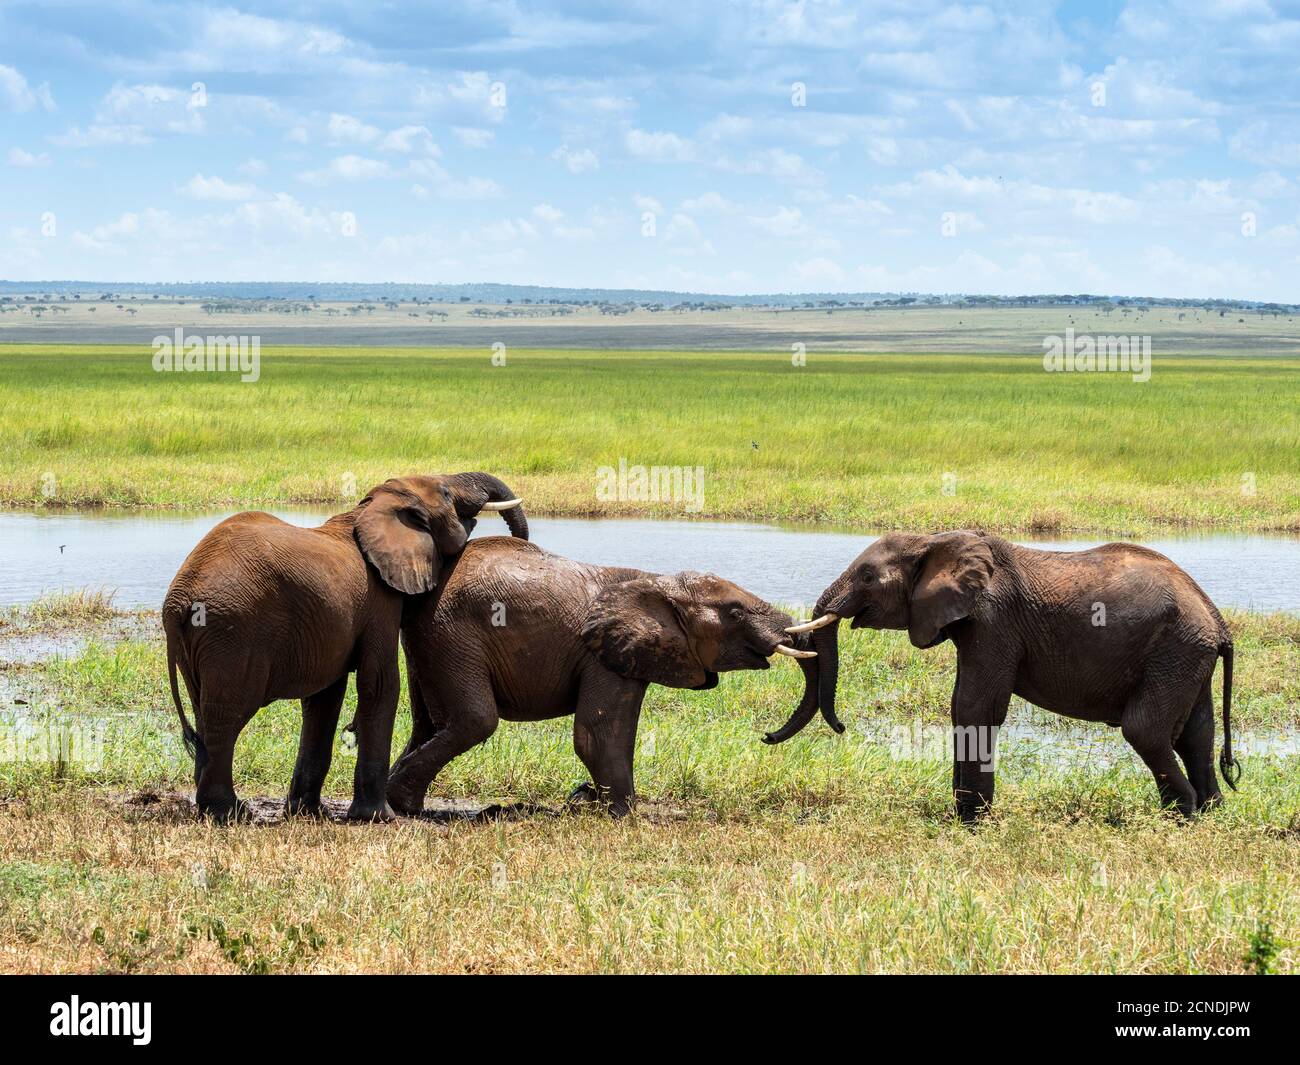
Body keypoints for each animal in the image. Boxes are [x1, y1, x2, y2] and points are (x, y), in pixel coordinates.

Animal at [162, 475, 527, 827]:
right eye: (447, 494)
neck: (368, 509)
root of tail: (177, 600)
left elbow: (324, 699)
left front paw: (309, 813)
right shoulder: (379, 598)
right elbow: (380, 683)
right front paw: (378, 817)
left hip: (203, 644)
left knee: (204, 712)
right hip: (233, 632)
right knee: (226, 716)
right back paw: (230, 813)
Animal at [379, 538, 816, 821]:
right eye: (735, 614)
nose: (768, 737)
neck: (658, 582)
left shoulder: (632, 654)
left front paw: (594, 802)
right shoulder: (601, 655)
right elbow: (597, 733)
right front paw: (625, 814)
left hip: (432, 643)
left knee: (429, 724)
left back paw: (398, 799)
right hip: (452, 634)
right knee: (474, 720)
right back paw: (402, 804)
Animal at [764, 533, 1242, 827]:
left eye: (867, 577)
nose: (840, 726)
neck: (934, 540)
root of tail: (1216, 618)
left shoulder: (994, 621)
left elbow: (977, 707)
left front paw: (973, 822)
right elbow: (961, 706)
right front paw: (964, 815)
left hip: (1175, 648)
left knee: (1145, 729)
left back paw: (1182, 817)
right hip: (1186, 653)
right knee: (1196, 733)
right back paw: (1212, 814)